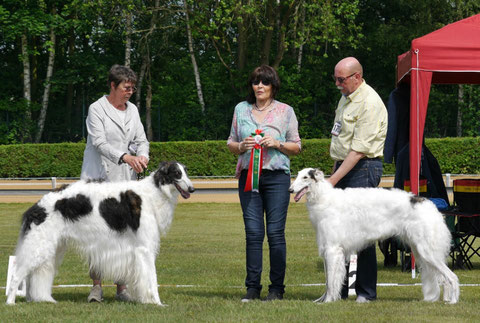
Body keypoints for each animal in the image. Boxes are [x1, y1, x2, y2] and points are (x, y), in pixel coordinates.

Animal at [5, 161, 193, 306]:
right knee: (17, 275)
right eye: (177, 174)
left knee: (31, 276)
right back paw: (11, 302)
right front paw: (157, 302)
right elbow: (152, 280)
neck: (153, 193)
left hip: (52, 248)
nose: (192, 189)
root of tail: (36, 206)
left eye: (186, 171)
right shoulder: (144, 249)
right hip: (39, 246)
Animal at [288, 168, 462, 306]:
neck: (323, 197)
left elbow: (330, 282)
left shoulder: (332, 249)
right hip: (420, 250)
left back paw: (453, 301)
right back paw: (446, 299)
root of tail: (429, 205)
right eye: (297, 175)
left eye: (305, 177)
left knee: (452, 276)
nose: (290, 190)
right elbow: (331, 280)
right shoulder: (330, 249)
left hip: (427, 251)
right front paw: (325, 300)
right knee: (443, 278)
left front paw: (328, 301)